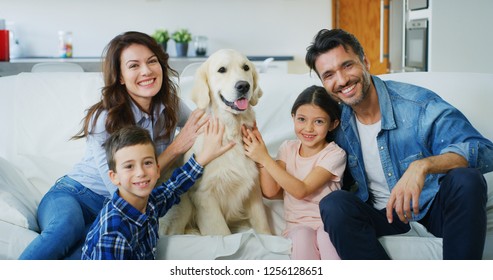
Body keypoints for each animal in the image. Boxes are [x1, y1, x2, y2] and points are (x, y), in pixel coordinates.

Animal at [160, 49, 270, 235]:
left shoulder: (253, 186)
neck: (230, 131)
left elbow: (262, 224)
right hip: (182, 200)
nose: (243, 86)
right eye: (222, 70)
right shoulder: (204, 196)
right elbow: (221, 232)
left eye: (246, 67)